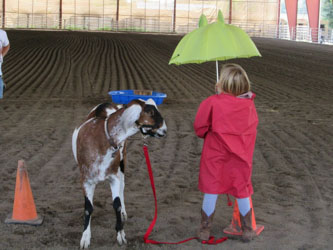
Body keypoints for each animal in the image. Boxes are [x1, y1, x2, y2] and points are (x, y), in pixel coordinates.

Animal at [72, 99, 166, 248]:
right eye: (150, 112)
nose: (165, 129)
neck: (101, 138)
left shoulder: (114, 177)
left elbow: (116, 204)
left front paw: (120, 234)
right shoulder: (86, 180)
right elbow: (88, 208)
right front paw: (85, 238)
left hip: (122, 163)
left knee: (122, 187)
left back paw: (123, 213)